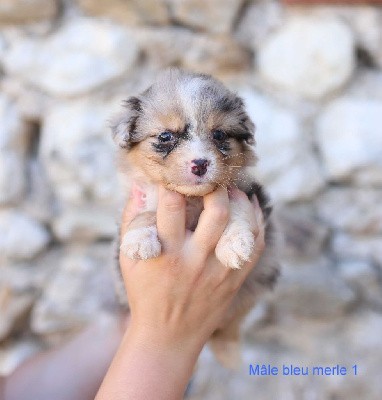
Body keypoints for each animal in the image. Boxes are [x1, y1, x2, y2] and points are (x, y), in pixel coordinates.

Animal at [109, 67, 280, 368]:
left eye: (219, 134)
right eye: (166, 136)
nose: (200, 164)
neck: (192, 199)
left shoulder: (245, 193)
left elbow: (237, 213)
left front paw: (234, 245)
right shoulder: (143, 196)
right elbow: (143, 215)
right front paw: (139, 241)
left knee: (229, 327)